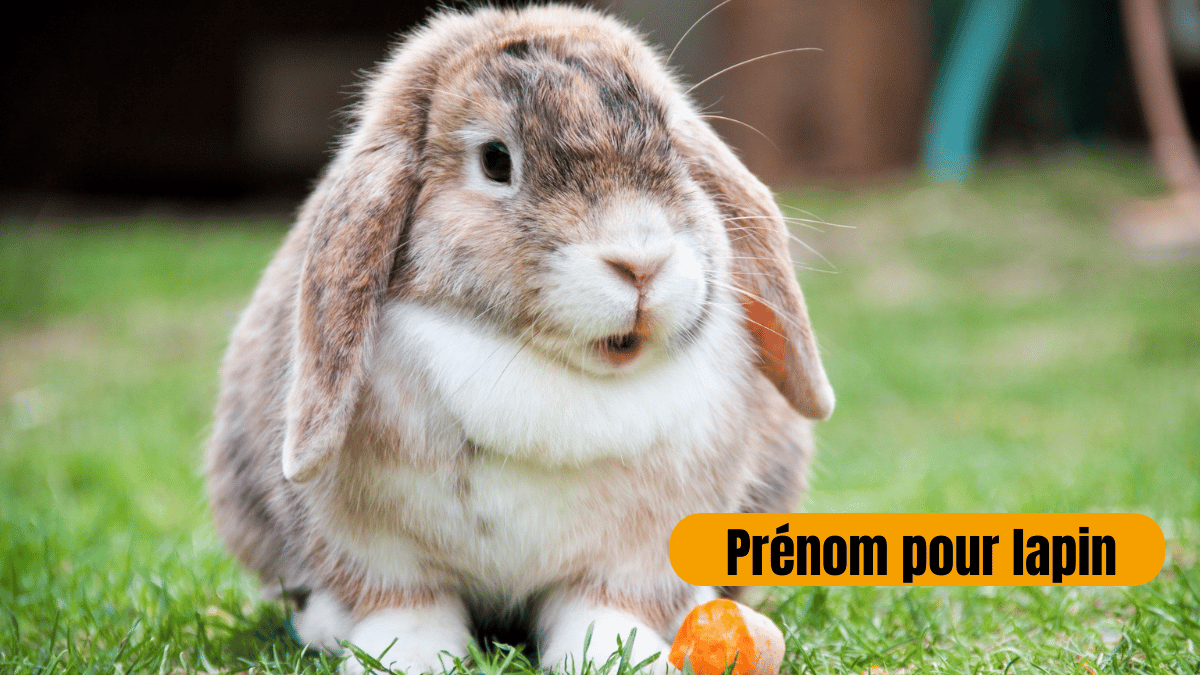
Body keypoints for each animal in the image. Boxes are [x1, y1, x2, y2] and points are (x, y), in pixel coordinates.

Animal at [205, 4, 834, 674]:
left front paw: (615, 657)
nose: (641, 263)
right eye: (496, 161)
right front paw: (407, 659)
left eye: (673, 147)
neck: (548, 370)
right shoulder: (377, 550)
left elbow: (603, 607)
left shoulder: (636, 554)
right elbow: (406, 604)